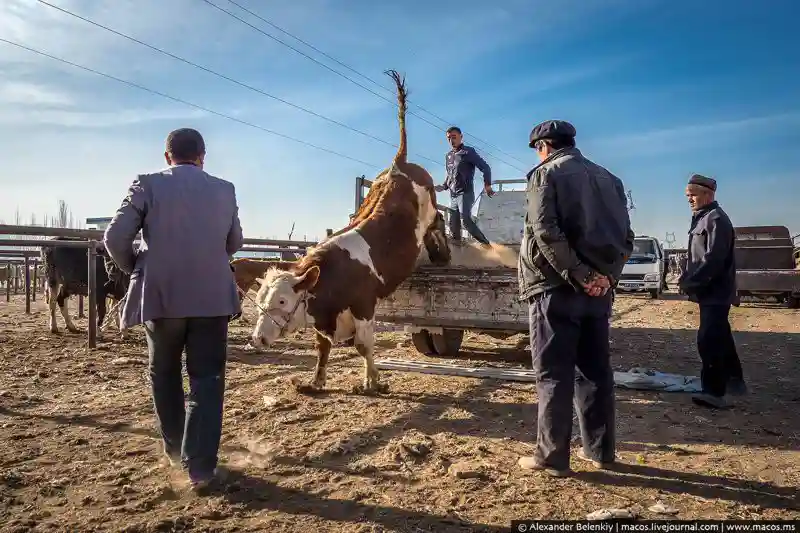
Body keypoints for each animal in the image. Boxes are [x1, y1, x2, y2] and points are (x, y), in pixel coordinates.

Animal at [250, 70, 450, 392]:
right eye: (259, 300)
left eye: (282, 300)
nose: (257, 338)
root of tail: (398, 162)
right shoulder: (324, 320)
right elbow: (322, 347)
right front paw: (316, 381)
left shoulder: (364, 307)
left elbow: (363, 346)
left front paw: (372, 382)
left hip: (430, 210)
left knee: (439, 221)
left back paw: (442, 253)